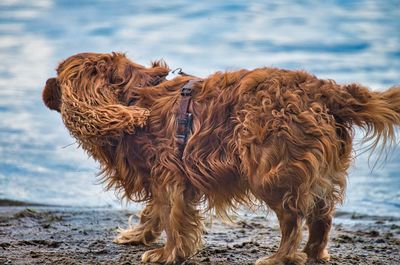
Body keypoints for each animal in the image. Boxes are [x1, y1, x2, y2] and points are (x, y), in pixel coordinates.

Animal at [42, 52, 398, 264]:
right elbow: (153, 211)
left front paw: (167, 253)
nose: (45, 87)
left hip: (270, 173)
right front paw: (138, 236)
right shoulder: (162, 178)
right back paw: (313, 253)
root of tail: (324, 89)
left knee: (293, 219)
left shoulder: (169, 177)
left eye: (58, 76)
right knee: (322, 215)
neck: (130, 100)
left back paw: (280, 257)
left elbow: (171, 217)